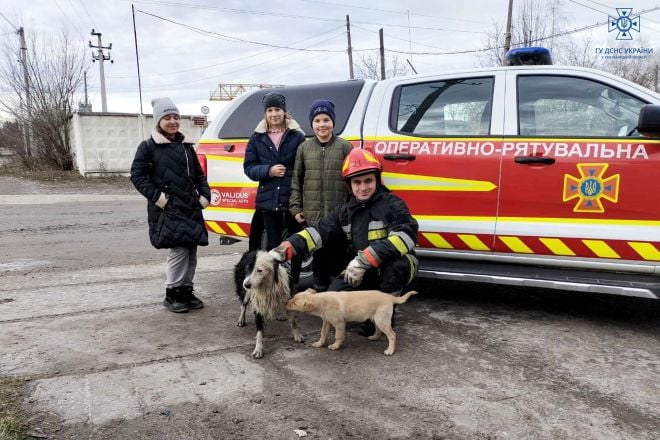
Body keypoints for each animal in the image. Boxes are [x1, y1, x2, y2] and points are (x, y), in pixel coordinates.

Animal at [284, 288, 418, 354]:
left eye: (294, 303)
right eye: (293, 297)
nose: (285, 303)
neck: (320, 300)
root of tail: (390, 296)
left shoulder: (339, 323)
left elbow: (338, 336)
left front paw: (335, 346)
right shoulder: (326, 321)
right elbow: (323, 333)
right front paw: (319, 343)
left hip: (382, 319)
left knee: (392, 335)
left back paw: (390, 351)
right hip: (376, 318)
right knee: (379, 330)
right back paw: (374, 337)